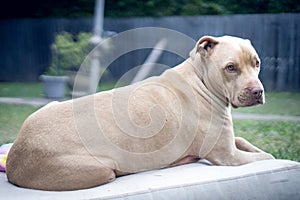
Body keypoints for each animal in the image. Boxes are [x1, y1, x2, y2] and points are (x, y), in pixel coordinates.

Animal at [6, 35, 274, 191]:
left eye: (257, 63)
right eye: (230, 67)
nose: (258, 91)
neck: (202, 80)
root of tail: (14, 161)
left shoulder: (230, 145)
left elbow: (246, 141)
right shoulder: (229, 157)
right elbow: (267, 157)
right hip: (101, 169)